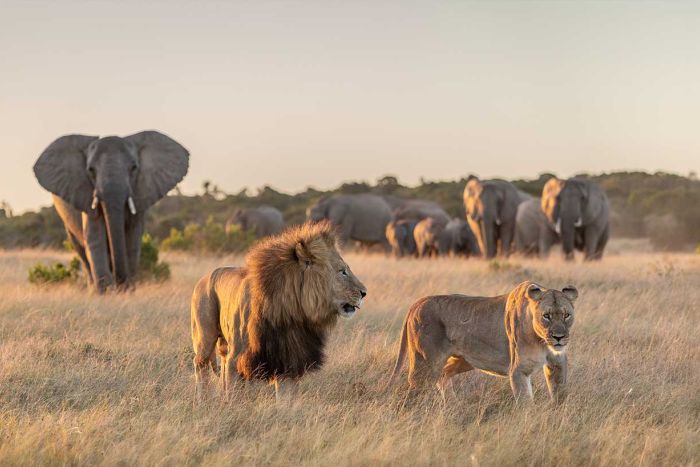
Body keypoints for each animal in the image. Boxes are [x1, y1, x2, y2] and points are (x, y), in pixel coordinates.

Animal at [191, 221, 367, 401]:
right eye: (342, 271)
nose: (364, 293)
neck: (290, 312)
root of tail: (203, 278)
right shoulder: (238, 358)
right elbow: (234, 393)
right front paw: (232, 406)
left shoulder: (287, 360)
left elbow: (287, 398)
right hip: (205, 337)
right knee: (201, 365)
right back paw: (201, 399)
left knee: (221, 363)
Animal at [389, 281, 578, 402]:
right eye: (546, 316)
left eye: (566, 315)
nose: (559, 337)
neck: (542, 341)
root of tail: (417, 303)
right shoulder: (519, 370)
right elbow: (525, 401)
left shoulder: (558, 363)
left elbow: (560, 396)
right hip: (425, 364)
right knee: (415, 389)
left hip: (462, 360)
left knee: (443, 376)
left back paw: (452, 406)